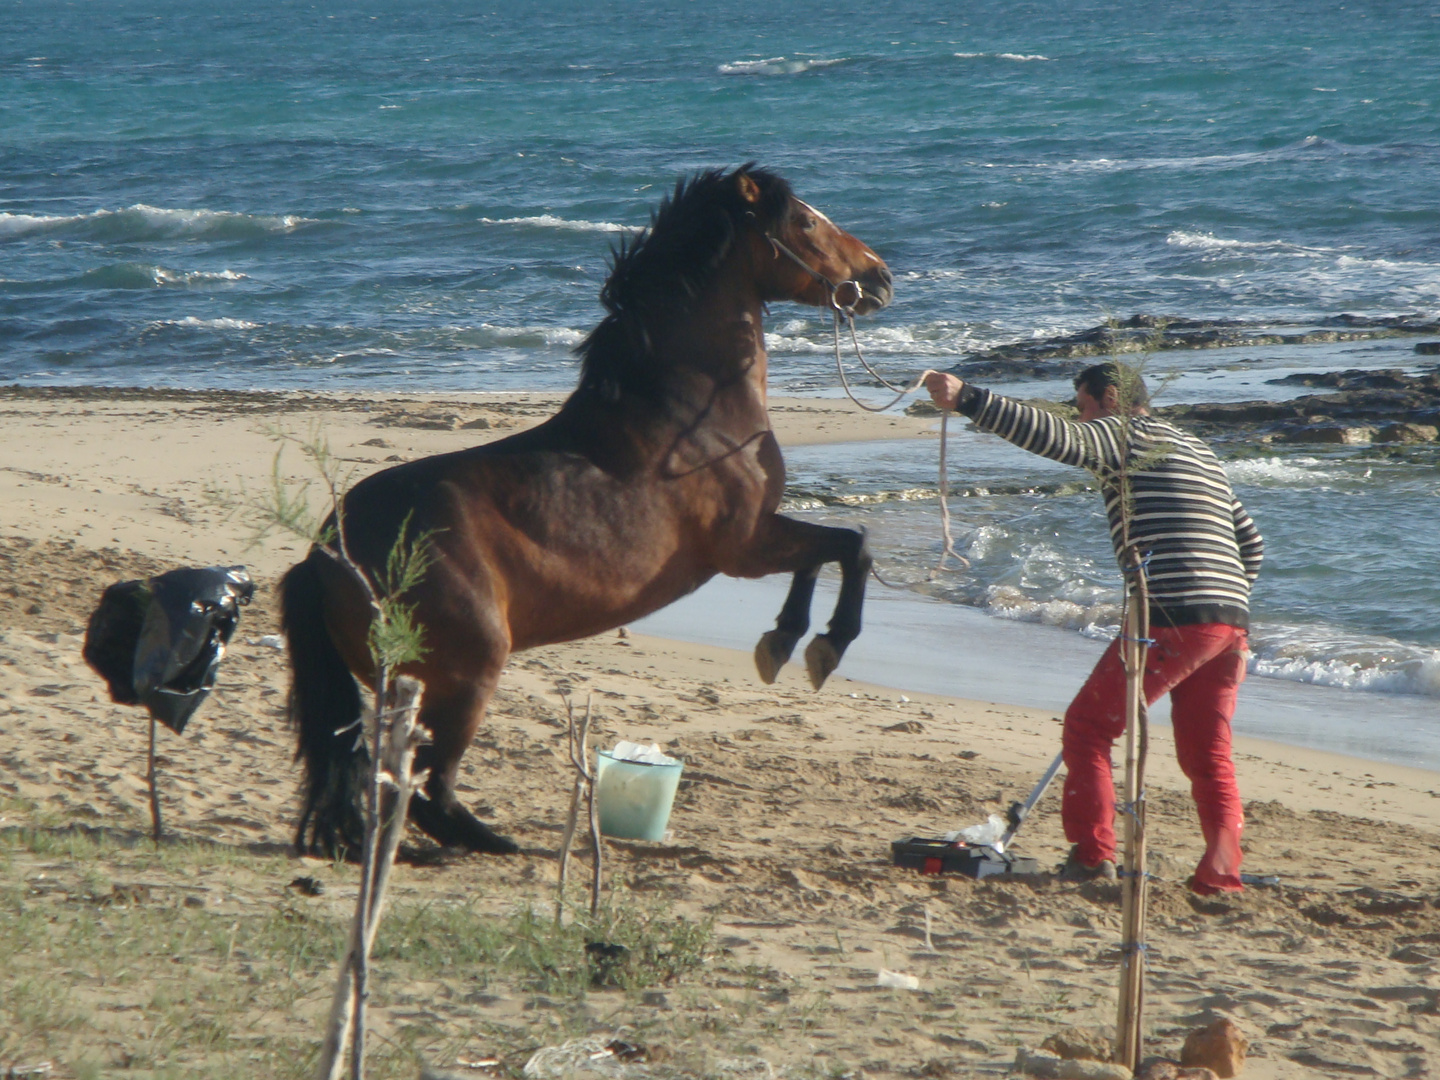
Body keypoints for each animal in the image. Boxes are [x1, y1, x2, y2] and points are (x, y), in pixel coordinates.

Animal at [279, 164, 887, 858]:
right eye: (806, 221)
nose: (880, 276)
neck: (690, 417)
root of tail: (326, 553)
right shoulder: (745, 547)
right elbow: (851, 543)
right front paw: (822, 646)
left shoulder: (761, 539)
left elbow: (822, 554)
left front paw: (781, 641)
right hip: (466, 675)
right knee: (431, 784)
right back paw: (494, 843)